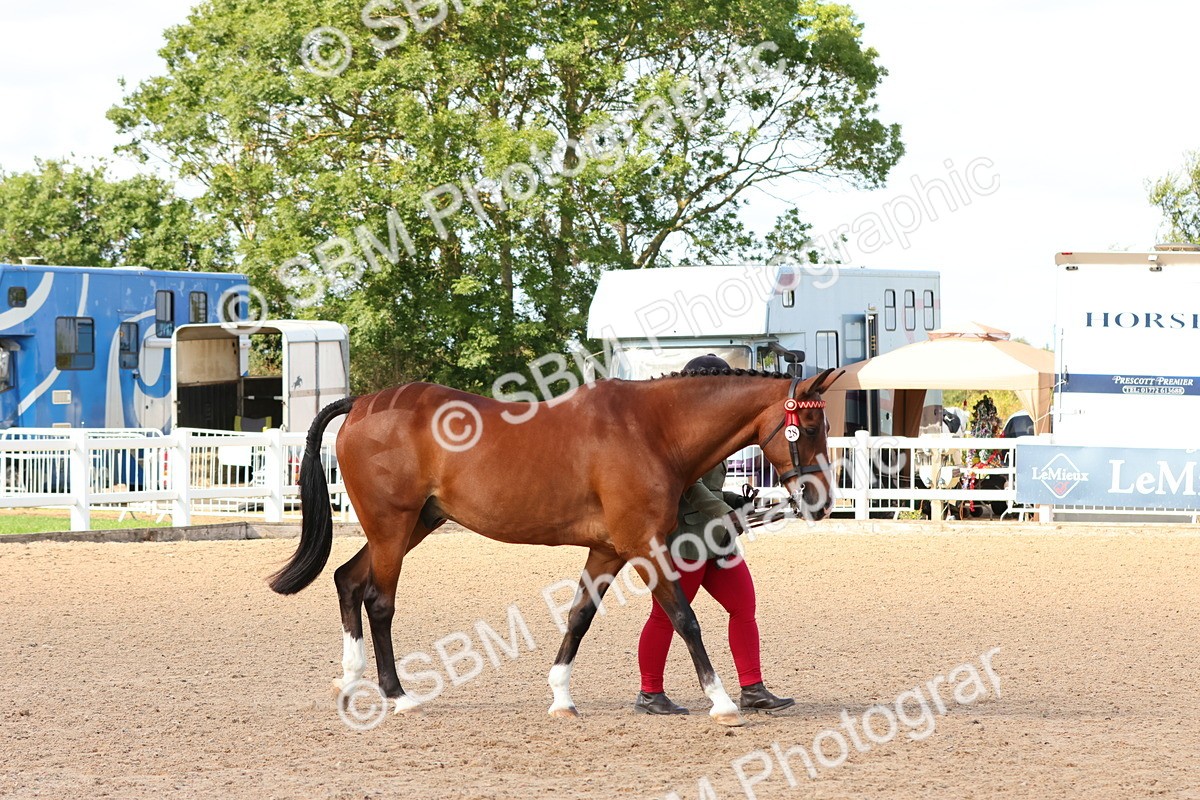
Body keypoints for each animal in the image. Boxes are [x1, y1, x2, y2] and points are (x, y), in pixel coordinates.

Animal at [268, 366, 841, 726]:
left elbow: (579, 617)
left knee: (348, 579)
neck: (653, 430)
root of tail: (364, 404)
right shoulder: (644, 546)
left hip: (413, 525)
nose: (821, 501)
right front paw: (722, 703)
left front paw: (561, 697)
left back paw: (351, 682)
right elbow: (684, 618)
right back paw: (398, 696)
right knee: (378, 600)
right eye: (810, 424)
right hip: (392, 526)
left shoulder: (610, 550)